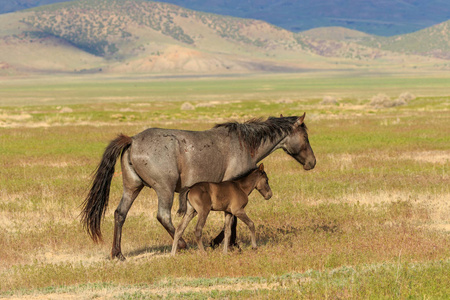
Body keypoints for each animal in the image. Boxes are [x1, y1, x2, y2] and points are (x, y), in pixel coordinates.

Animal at [82, 113, 318, 260]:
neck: (244, 144)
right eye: (305, 136)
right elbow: (232, 221)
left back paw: (118, 254)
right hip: (164, 189)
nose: (312, 162)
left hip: (132, 188)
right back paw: (183, 245)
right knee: (163, 216)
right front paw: (226, 243)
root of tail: (132, 140)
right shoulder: (231, 189)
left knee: (120, 214)